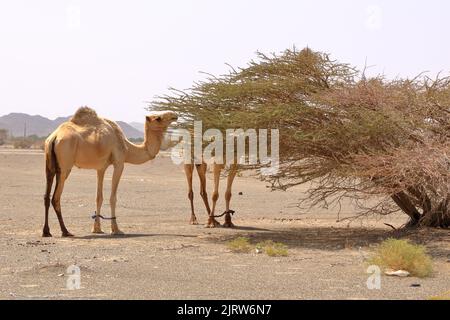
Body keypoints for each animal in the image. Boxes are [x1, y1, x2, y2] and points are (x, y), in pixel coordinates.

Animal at [41, 106, 177, 236]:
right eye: (158, 118)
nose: (174, 115)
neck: (127, 148)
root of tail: (54, 138)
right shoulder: (119, 163)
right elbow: (113, 198)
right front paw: (116, 229)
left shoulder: (101, 168)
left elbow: (99, 197)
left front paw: (96, 229)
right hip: (65, 166)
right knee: (56, 197)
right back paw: (65, 231)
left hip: (49, 165)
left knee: (46, 196)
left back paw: (46, 231)